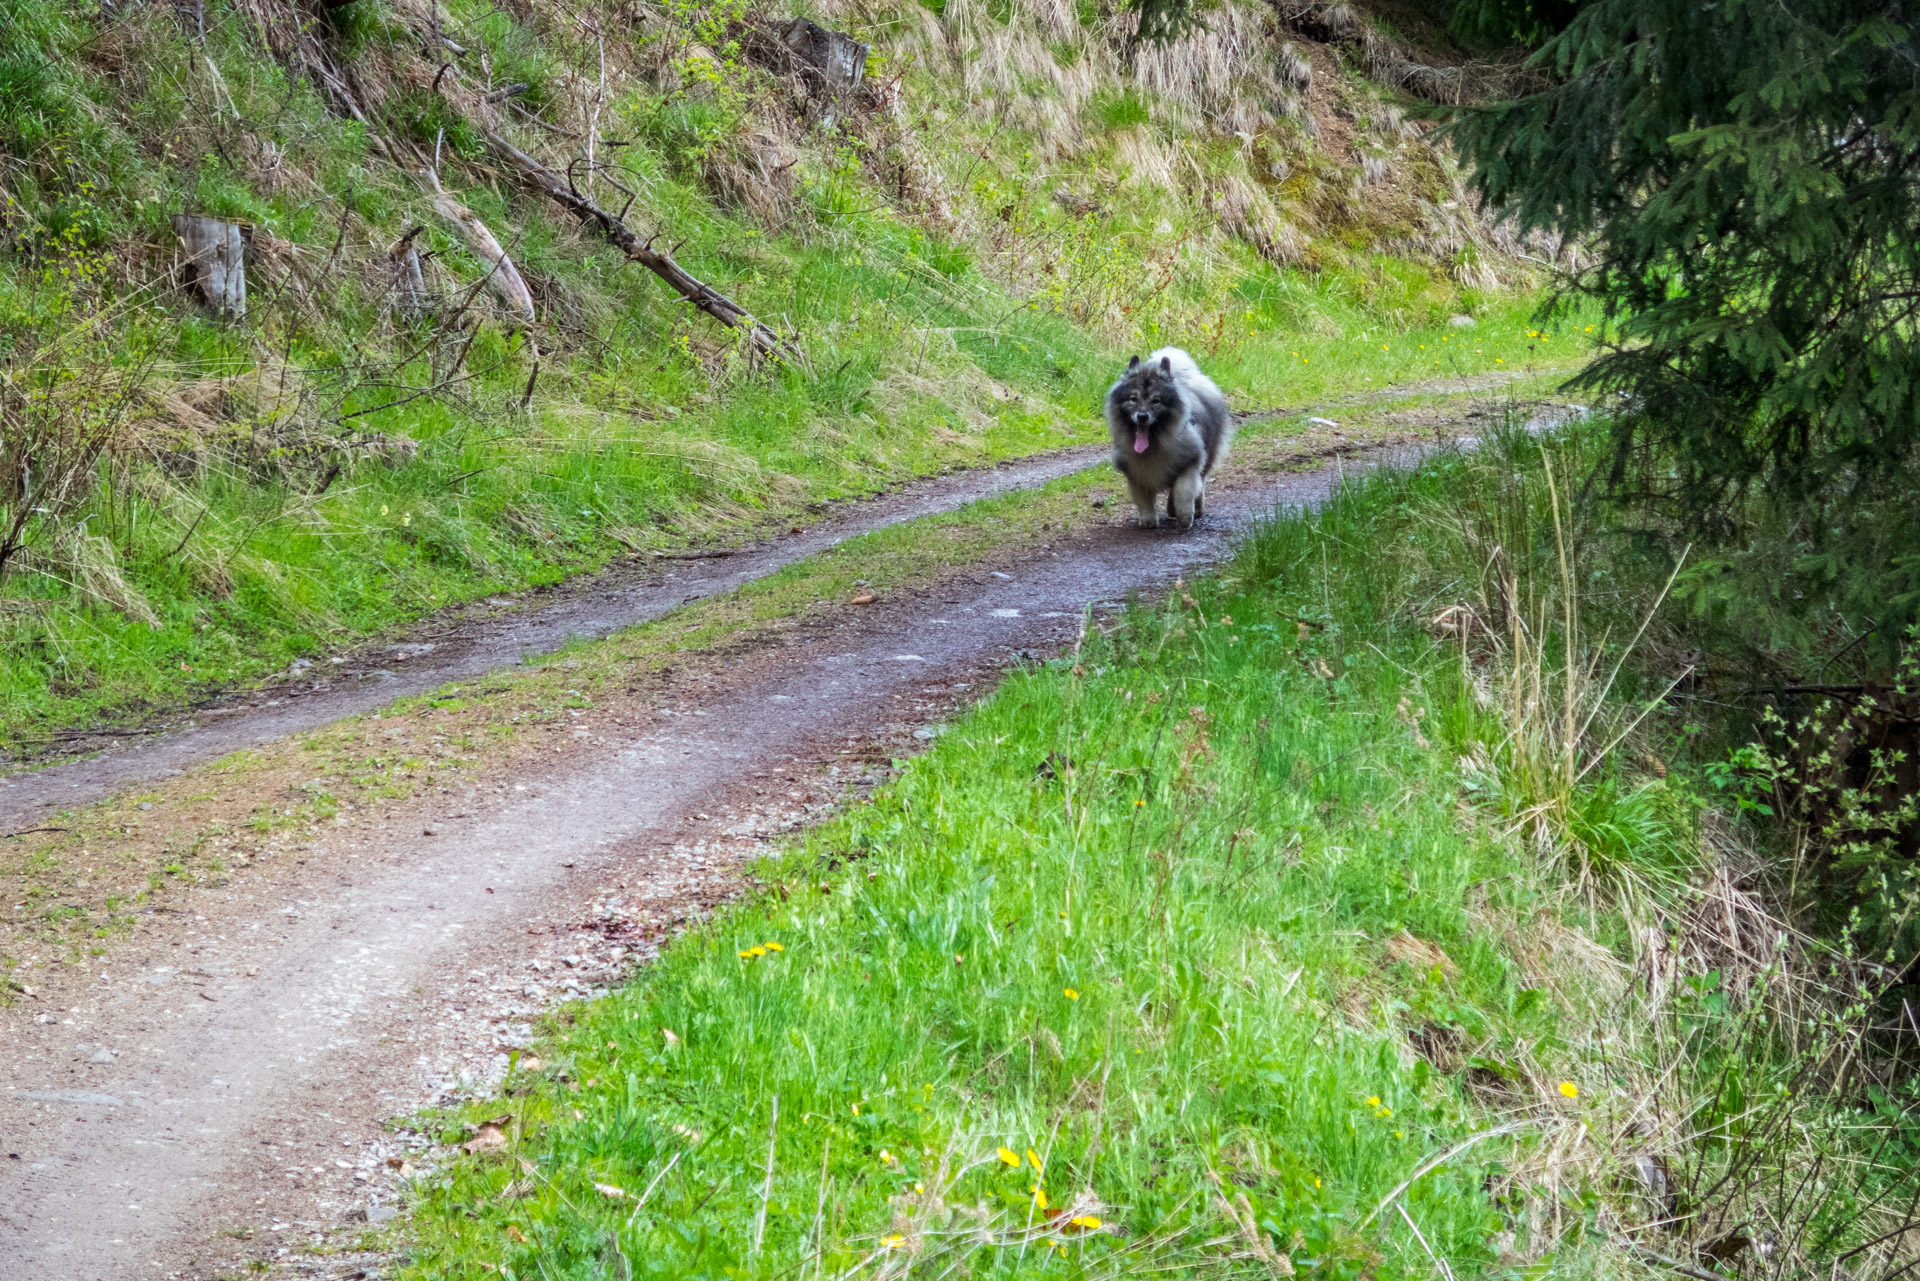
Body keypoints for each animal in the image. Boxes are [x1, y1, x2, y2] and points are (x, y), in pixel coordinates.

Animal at [1113, 347, 1228, 530]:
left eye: (1156, 401)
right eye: (1133, 399)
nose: (1142, 416)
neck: (1154, 444)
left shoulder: (1190, 462)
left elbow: (1183, 491)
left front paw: (1185, 517)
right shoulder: (1136, 473)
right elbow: (1144, 499)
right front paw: (1148, 520)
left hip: (1208, 455)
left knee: (1200, 483)